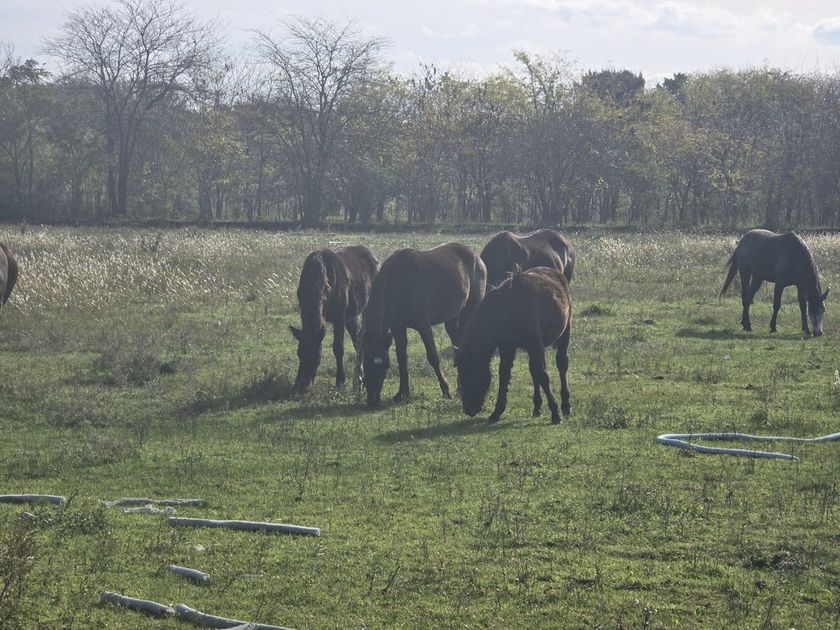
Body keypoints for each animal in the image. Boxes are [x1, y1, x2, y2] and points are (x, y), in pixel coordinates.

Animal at [290, 245, 379, 391]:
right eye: (299, 353)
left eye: (317, 357)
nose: (300, 384)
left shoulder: (339, 316)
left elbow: (338, 348)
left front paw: (340, 380)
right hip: (351, 315)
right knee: (357, 339)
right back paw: (359, 378)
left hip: (367, 308)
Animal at [360, 242, 486, 407]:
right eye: (366, 364)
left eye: (383, 365)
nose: (372, 400)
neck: (400, 281)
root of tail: (476, 257)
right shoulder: (398, 327)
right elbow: (401, 358)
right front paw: (402, 393)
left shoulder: (423, 325)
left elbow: (433, 356)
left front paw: (446, 390)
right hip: (452, 319)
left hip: (469, 311)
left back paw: (460, 389)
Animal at [455, 266, 572, 424]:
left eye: (468, 376)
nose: (469, 409)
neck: (508, 309)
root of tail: (557, 274)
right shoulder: (507, 347)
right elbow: (504, 374)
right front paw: (497, 412)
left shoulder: (535, 343)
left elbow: (543, 374)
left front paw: (555, 412)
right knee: (533, 371)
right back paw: (537, 407)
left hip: (565, 331)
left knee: (561, 364)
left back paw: (566, 406)